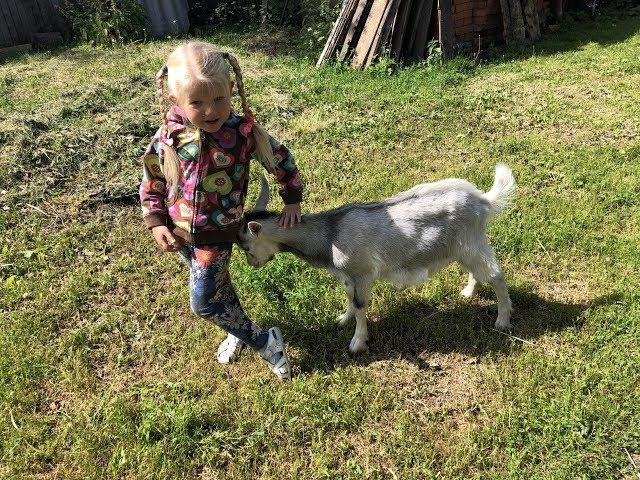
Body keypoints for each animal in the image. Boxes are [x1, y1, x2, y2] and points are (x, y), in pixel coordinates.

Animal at [238, 165, 516, 352]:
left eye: (246, 247)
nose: (253, 265)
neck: (329, 234)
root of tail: (483, 200)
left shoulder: (363, 274)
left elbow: (361, 307)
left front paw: (357, 343)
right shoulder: (347, 276)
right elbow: (350, 299)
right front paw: (343, 319)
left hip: (471, 244)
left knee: (496, 275)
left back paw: (502, 321)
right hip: (464, 248)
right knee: (478, 271)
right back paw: (468, 293)